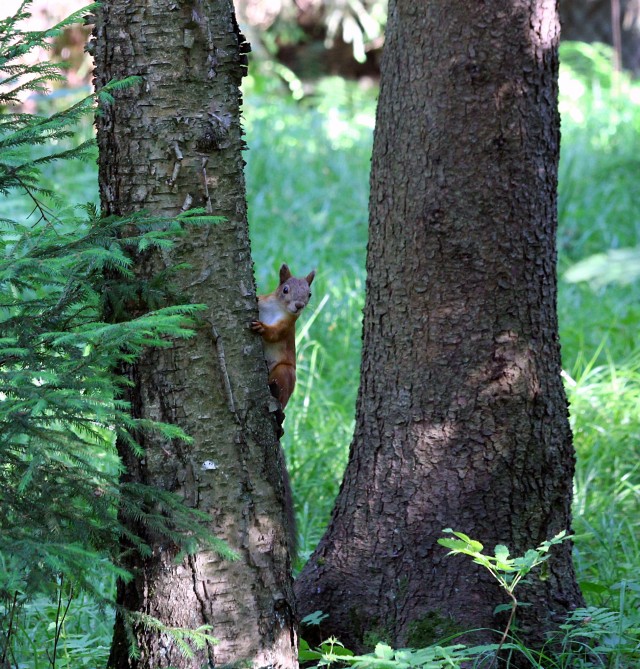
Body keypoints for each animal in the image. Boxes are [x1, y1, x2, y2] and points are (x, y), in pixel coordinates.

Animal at [252, 264, 318, 410]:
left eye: (309, 294)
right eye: (285, 289)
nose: (299, 305)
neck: (277, 307)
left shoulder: (287, 325)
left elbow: (274, 334)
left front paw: (262, 328)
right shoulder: (263, 303)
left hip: (285, 372)